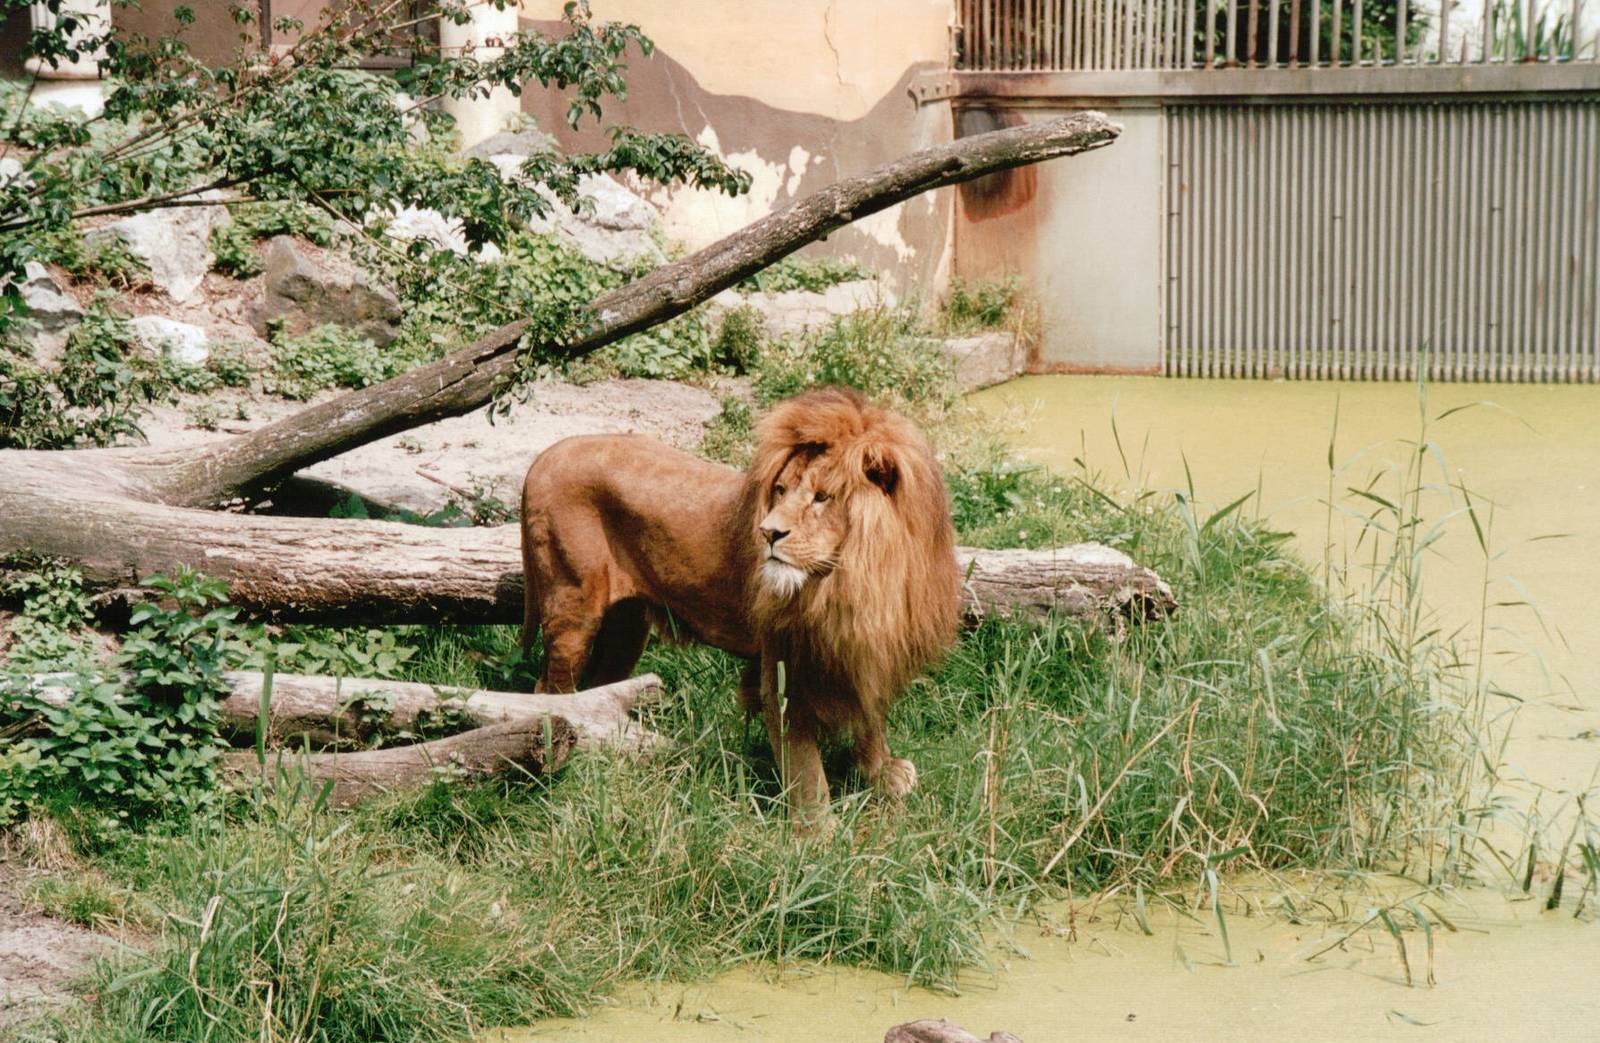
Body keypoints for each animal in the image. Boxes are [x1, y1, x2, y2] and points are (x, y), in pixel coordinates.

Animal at [519, 386, 961, 827]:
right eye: (780, 490)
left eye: (822, 497)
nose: (768, 532)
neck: (857, 581)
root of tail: (548, 454)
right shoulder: (785, 668)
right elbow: (804, 763)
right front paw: (818, 829)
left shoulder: (871, 648)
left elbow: (872, 717)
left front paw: (882, 774)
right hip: (572, 608)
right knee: (550, 690)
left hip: (624, 627)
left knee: (601, 687)